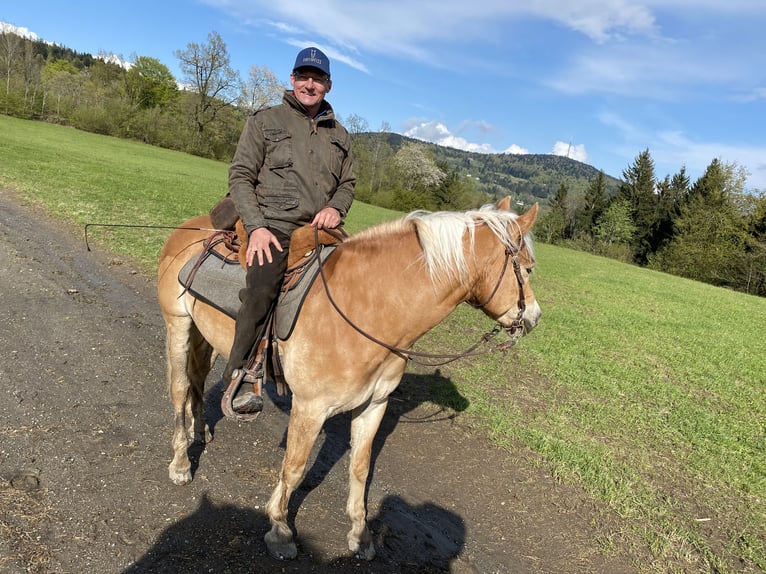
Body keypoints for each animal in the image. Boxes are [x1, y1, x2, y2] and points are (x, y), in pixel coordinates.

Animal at [154, 198, 540, 564]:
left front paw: (360, 534)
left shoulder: (374, 405)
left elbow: (360, 468)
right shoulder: (310, 408)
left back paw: (200, 430)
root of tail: (190, 229)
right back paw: (181, 462)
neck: (368, 310)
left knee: (198, 379)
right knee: (179, 389)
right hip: (178, 326)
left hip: (205, 336)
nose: (534, 318)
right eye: (528, 268)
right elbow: (294, 469)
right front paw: (279, 529)